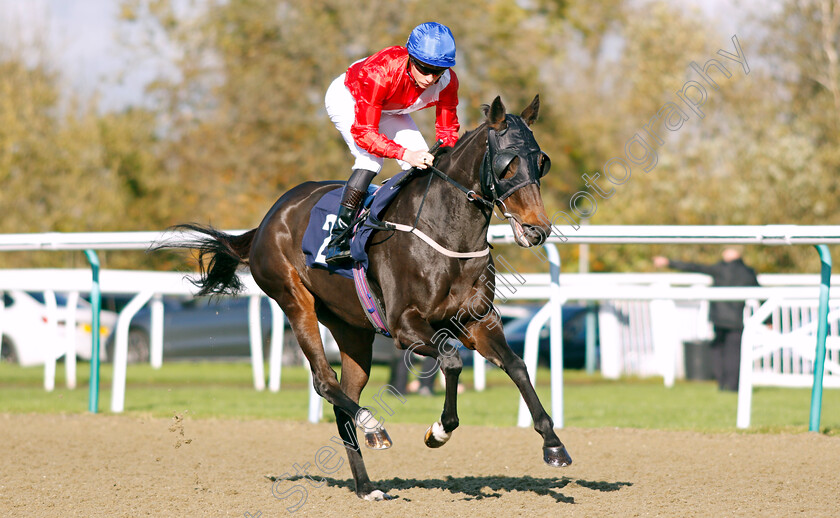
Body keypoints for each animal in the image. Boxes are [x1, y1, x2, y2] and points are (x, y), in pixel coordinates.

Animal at [172, 95, 576, 502]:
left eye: (541, 161)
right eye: (507, 163)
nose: (537, 229)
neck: (446, 236)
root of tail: (268, 219)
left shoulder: (476, 321)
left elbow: (517, 366)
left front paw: (553, 444)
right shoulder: (404, 326)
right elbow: (451, 360)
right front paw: (439, 431)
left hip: (352, 328)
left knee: (343, 396)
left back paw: (366, 486)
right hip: (294, 300)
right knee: (324, 382)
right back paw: (373, 427)